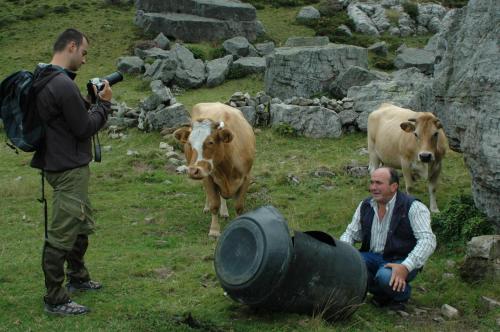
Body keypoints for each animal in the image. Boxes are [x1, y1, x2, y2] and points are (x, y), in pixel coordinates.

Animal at [174, 102, 256, 237]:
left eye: (211, 142)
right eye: (189, 143)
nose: (193, 171)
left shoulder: (246, 177)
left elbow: (239, 206)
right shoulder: (208, 177)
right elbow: (214, 204)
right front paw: (214, 230)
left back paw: (224, 212)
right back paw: (207, 208)